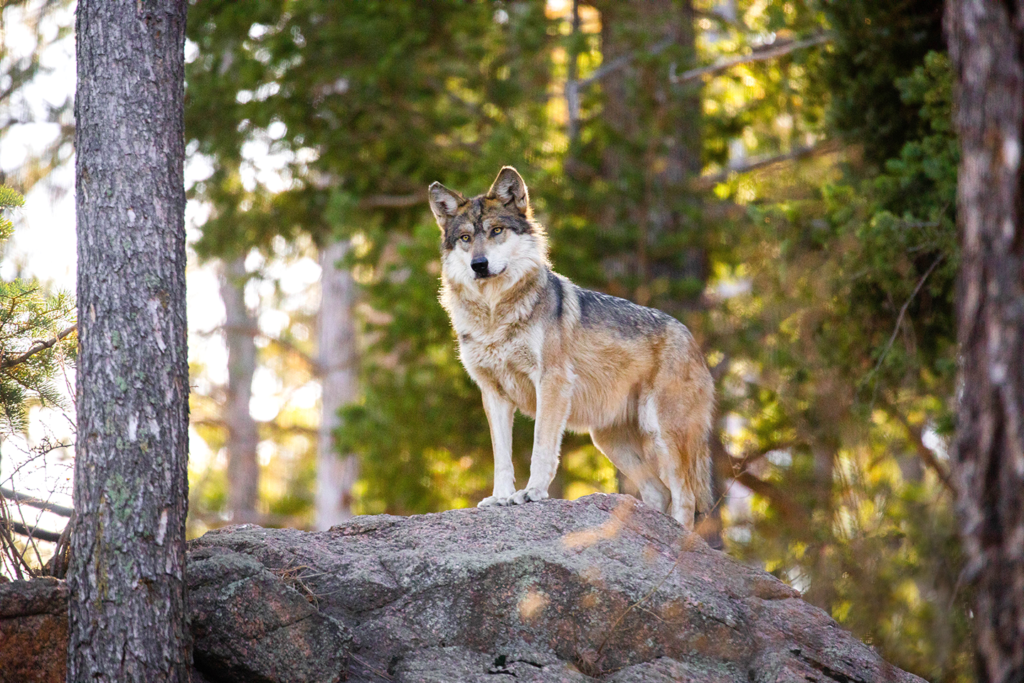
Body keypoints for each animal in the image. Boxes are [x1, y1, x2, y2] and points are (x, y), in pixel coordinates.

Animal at [428, 166, 714, 530]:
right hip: (609, 441)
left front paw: (532, 492)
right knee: (659, 493)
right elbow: (501, 458)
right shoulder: (493, 394)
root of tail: (691, 337)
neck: (495, 315)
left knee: (685, 497)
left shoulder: (551, 382)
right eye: (465, 238)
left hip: (663, 435)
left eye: (496, 231)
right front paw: (499, 498)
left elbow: (541, 447)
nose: (479, 264)